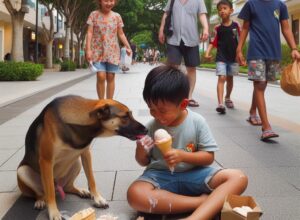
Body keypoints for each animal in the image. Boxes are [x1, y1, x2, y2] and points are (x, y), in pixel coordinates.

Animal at [16, 95, 148, 219]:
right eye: (125, 117)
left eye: (130, 114)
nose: (146, 130)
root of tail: (58, 186)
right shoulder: (46, 160)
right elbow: (50, 193)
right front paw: (54, 212)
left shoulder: (85, 153)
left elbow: (91, 179)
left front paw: (97, 198)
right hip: (23, 171)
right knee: (43, 193)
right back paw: (40, 201)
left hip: (76, 162)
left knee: (68, 187)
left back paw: (81, 191)